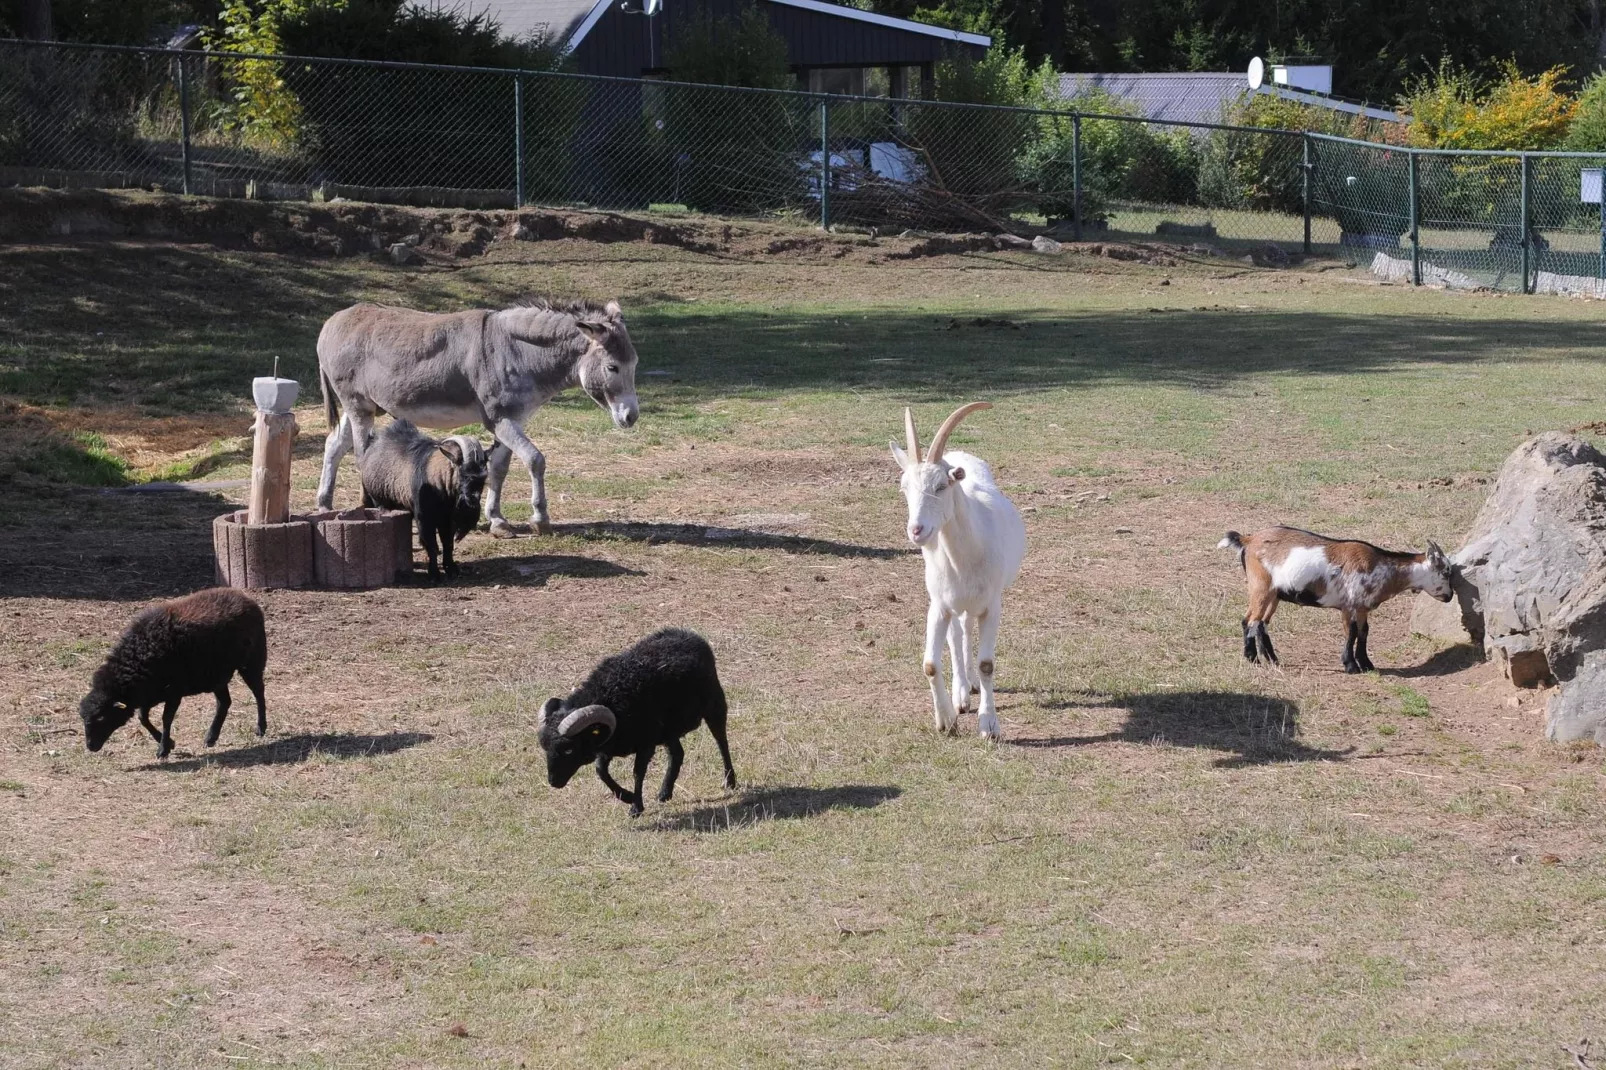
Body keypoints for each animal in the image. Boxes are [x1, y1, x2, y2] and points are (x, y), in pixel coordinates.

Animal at [79, 584, 268, 758]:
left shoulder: (174, 692)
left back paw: (261, 727)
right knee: (224, 702)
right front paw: (169, 743)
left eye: (102, 718)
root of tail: (246, 598)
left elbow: (166, 718)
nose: (90, 746)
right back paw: (211, 738)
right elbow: (143, 718)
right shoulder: (150, 694)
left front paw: (163, 749)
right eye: (83, 719)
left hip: (252, 661)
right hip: (217, 675)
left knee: (258, 692)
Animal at [539, 629, 738, 812]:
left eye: (569, 749)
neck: (611, 696)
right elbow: (601, 770)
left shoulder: (645, 743)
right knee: (677, 754)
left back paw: (730, 781)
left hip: (714, 704)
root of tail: (689, 633)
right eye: (546, 748)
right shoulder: (608, 743)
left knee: (721, 741)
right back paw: (664, 793)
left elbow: (637, 772)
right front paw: (626, 796)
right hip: (668, 730)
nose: (553, 781)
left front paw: (636, 806)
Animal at [892, 404, 1027, 739]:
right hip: (954, 603)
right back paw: (961, 692)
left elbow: (987, 664)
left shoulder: (992, 606)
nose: (917, 530)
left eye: (941, 486)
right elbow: (930, 664)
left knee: (966, 631)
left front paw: (989, 725)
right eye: (904, 488)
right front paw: (946, 720)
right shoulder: (939, 606)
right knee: (957, 635)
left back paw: (970, 686)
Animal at [1214, 523, 1458, 671]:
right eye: (1446, 572)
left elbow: (1364, 632)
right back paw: (1252, 659)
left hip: (1274, 594)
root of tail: (1248, 539)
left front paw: (1366, 664)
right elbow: (1351, 633)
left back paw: (1273, 660)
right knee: (1249, 620)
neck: (1379, 565)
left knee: (1261, 623)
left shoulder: (1362, 608)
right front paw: (1351, 666)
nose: (1449, 596)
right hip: (1260, 587)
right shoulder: (1348, 606)